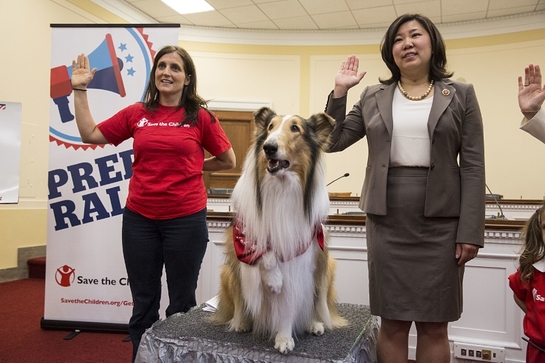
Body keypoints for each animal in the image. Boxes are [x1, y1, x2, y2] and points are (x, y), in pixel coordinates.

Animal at [210, 106, 346, 354]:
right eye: (270, 127)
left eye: (295, 128)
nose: (269, 147)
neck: (281, 186)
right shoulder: (243, 236)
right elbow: (264, 252)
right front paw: (273, 279)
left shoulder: (302, 246)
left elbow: (288, 299)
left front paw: (283, 337)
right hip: (227, 271)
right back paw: (241, 321)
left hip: (327, 265)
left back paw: (313, 323)